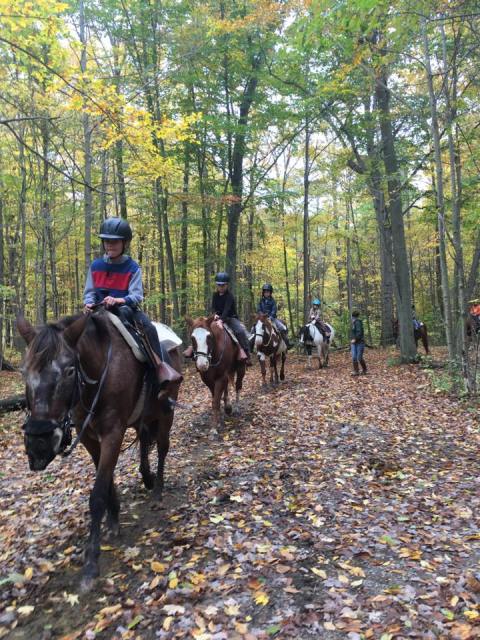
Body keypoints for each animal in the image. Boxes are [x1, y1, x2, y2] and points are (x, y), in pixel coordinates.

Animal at [16, 308, 182, 592]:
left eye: (70, 370)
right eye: (25, 372)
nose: (38, 444)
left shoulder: (113, 432)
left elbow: (97, 495)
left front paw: (91, 564)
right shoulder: (90, 437)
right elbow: (106, 481)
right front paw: (113, 519)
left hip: (165, 414)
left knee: (162, 448)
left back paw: (158, 490)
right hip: (142, 418)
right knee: (144, 444)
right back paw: (147, 478)